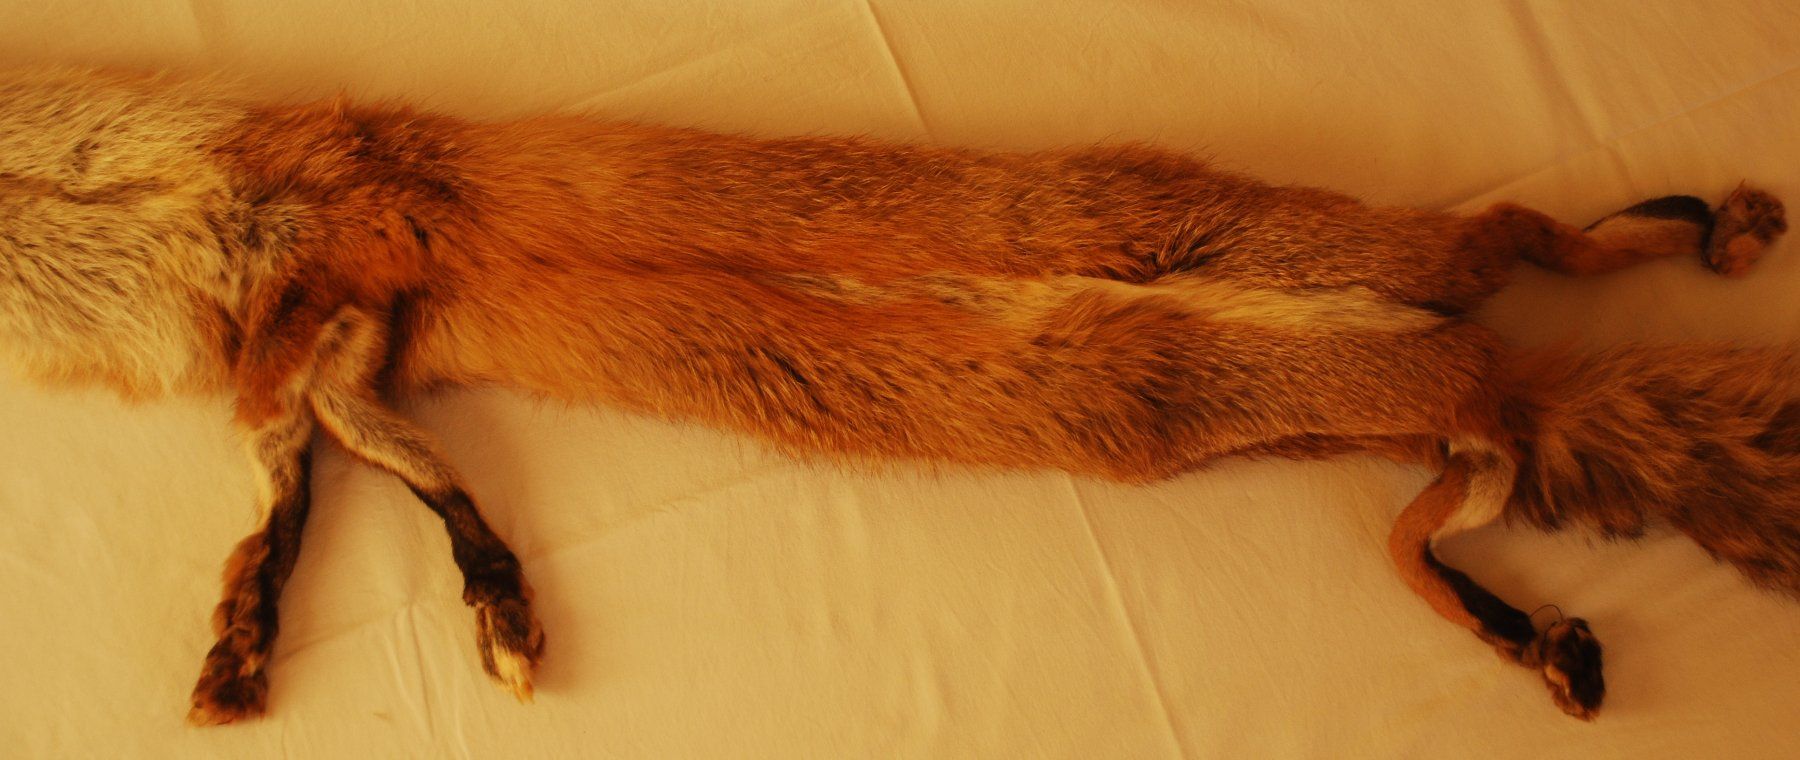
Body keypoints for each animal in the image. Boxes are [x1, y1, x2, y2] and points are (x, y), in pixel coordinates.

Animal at [0, 66, 1793, 726]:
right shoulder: (347, 329)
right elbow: (350, 473)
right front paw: (398, 612)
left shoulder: (338, 239)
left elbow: (316, 464)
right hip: (1187, 345)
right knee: (1480, 343)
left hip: (1180, 311)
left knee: (1508, 313)